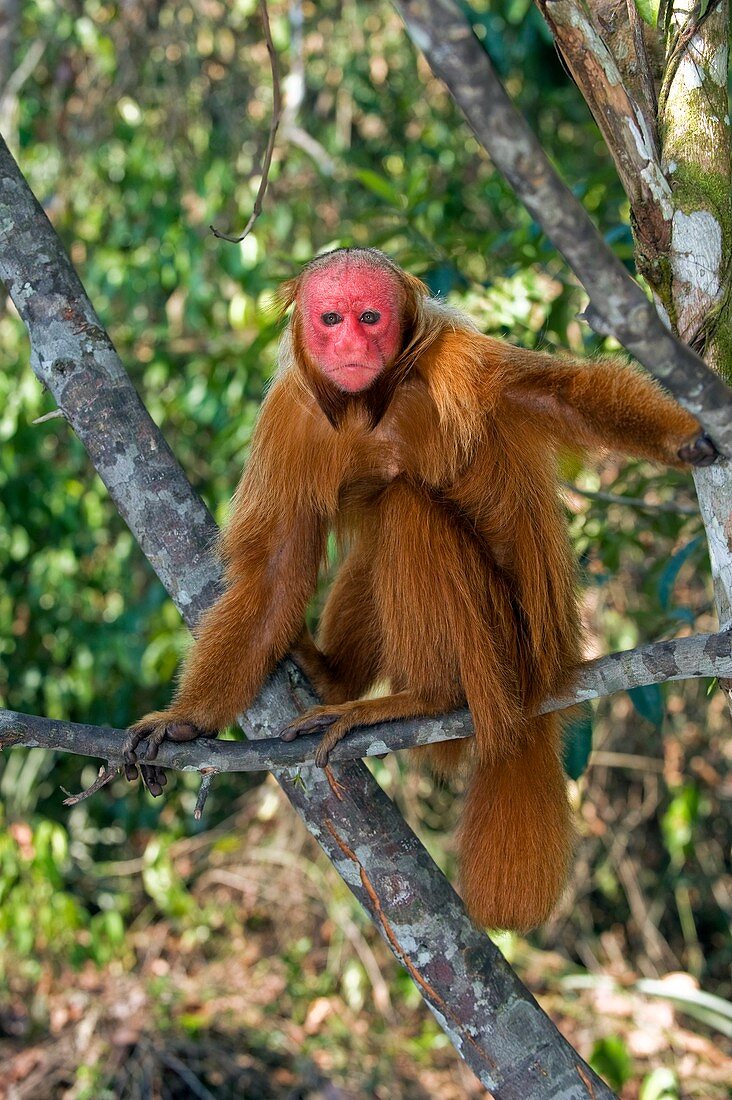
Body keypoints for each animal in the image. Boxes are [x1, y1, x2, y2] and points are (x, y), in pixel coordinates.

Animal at [124, 247, 713, 928]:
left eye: (370, 317)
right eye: (331, 319)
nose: (352, 343)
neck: (370, 405)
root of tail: (545, 681)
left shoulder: (456, 362)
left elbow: (555, 395)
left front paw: (684, 438)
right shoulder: (289, 418)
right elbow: (274, 574)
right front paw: (185, 722)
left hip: (503, 647)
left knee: (404, 508)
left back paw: (426, 698)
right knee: (381, 522)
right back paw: (336, 678)